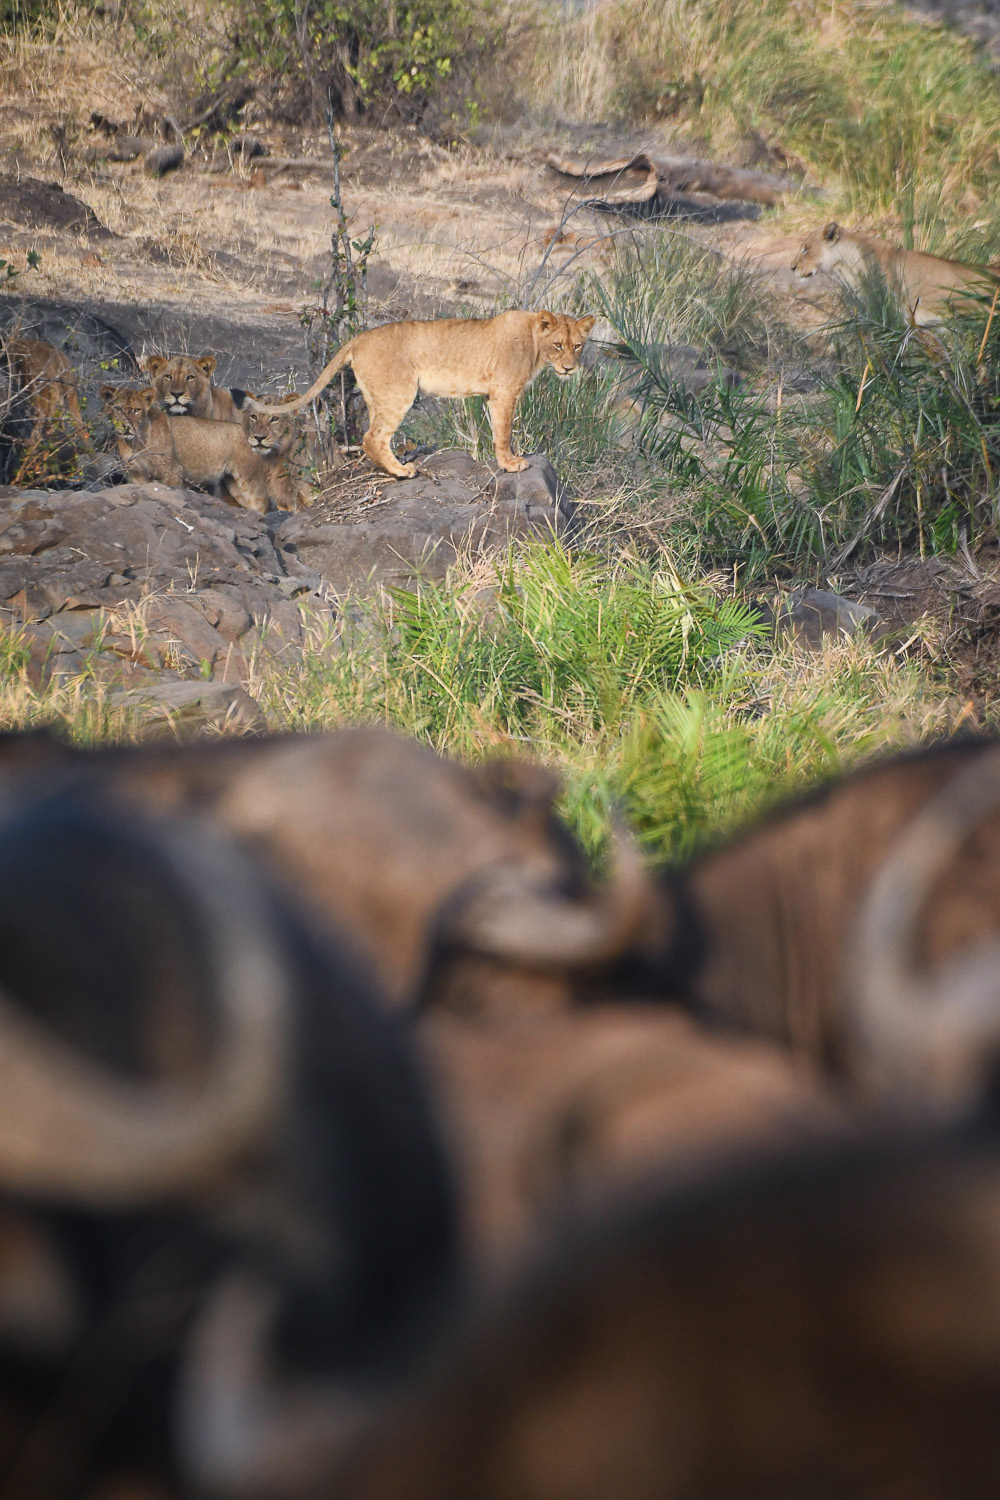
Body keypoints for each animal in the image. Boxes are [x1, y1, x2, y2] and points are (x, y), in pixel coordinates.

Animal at [100, 385, 272, 512]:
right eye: (117, 408)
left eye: (137, 410)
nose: (126, 426)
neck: (135, 443)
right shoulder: (137, 475)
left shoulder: (172, 471)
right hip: (233, 484)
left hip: (250, 480)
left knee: (262, 506)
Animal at [251, 310, 597, 478]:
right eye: (558, 345)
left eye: (578, 345)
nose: (569, 369)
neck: (534, 343)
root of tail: (360, 337)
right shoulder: (504, 392)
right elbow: (504, 433)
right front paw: (511, 464)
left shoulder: (493, 396)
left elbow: (497, 430)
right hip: (399, 392)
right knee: (373, 436)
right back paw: (401, 471)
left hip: (378, 396)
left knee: (371, 437)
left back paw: (388, 467)